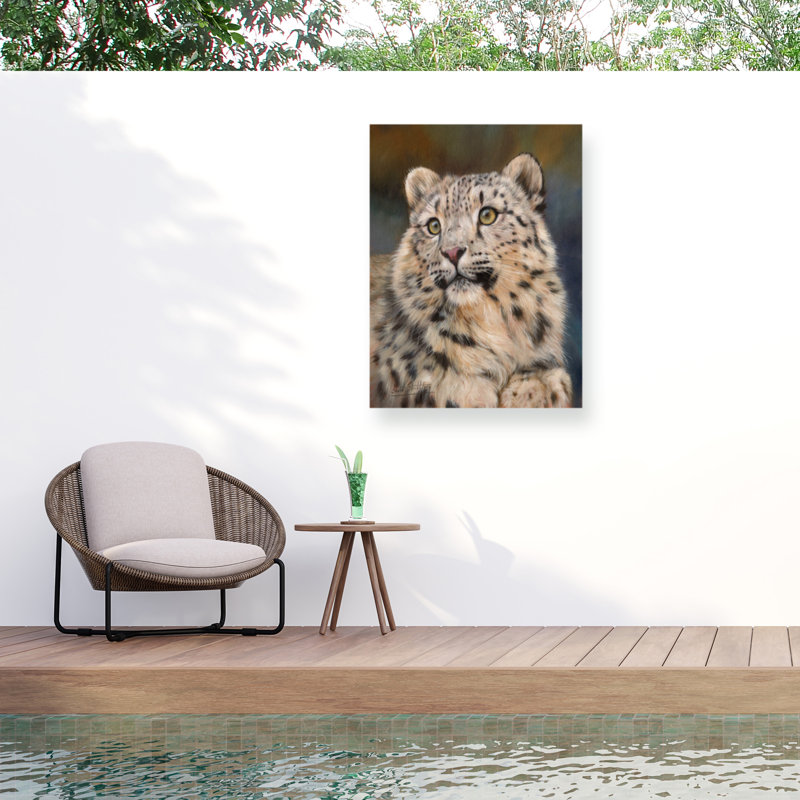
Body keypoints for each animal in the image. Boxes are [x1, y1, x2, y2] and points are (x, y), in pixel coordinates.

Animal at [370, 153, 573, 408]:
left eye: (488, 215)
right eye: (433, 225)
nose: (452, 252)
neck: (489, 319)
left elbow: (552, 378)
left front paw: (527, 393)